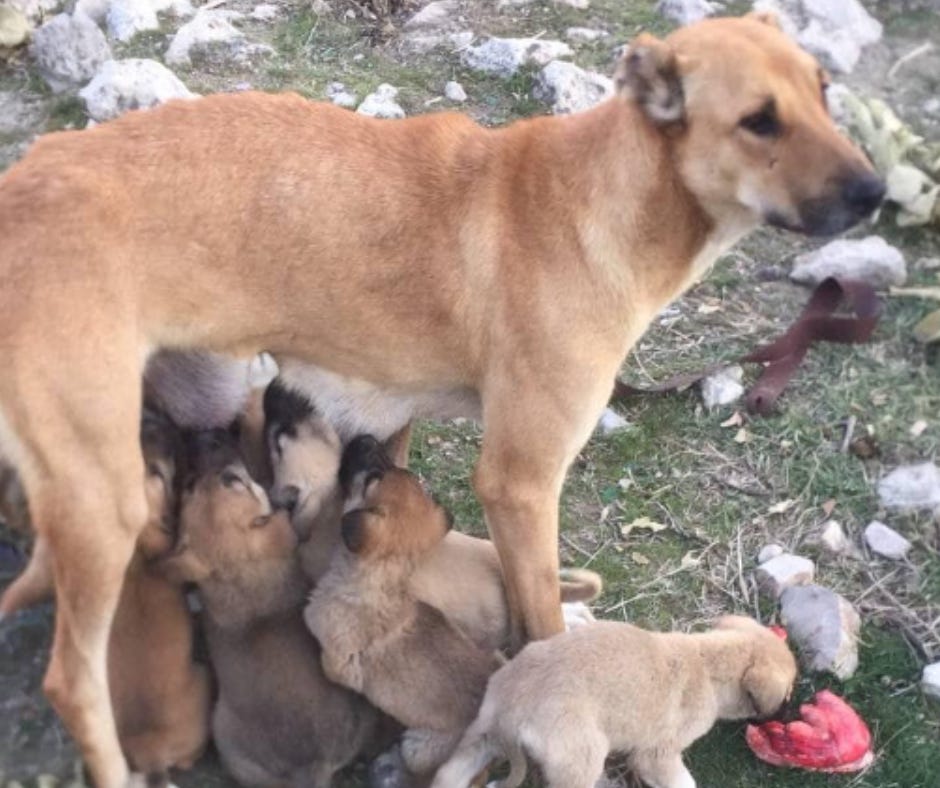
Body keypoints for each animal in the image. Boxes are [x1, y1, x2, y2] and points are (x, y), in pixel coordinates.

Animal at [431, 616, 798, 788]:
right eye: (788, 694)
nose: (786, 715)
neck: (709, 662)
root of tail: (513, 706)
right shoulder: (658, 756)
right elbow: (686, 782)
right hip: (582, 757)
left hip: (478, 740)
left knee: (447, 775)